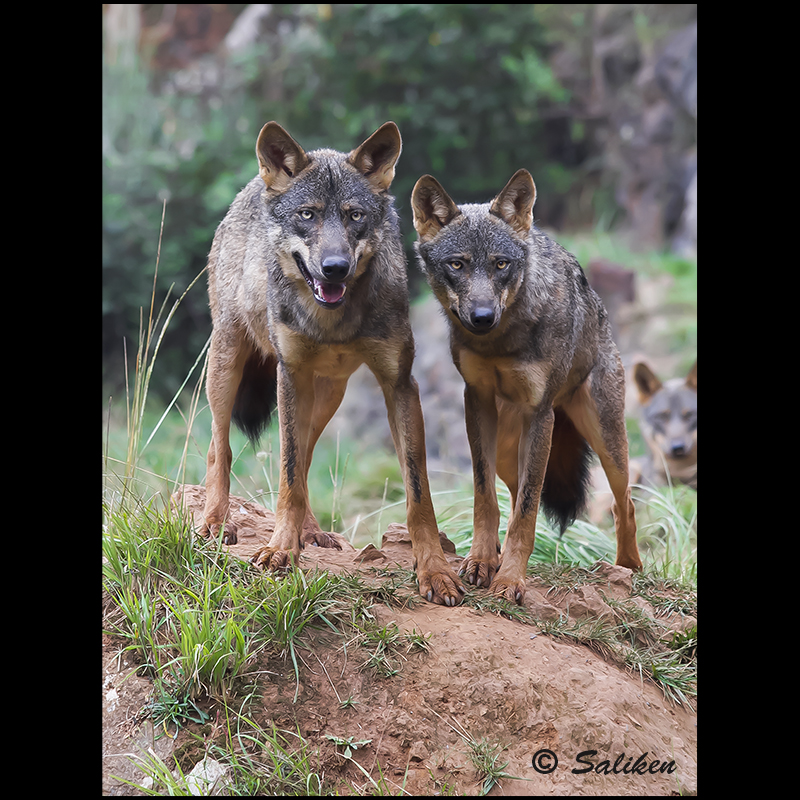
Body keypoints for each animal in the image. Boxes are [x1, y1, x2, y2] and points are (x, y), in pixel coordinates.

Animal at [200, 120, 466, 608]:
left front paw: (435, 571)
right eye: (307, 215)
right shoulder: (289, 374)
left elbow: (418, 492)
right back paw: (214, 522)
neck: (334, 321)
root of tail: (251, 188)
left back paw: (310, 533)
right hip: (228, 363)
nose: (335, 268)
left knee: (304, 459)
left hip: (327, 395)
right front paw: (279, 552)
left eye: (354, 215)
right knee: (220, 446)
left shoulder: (399, 383)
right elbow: (286, 474)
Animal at [412, 170, 644, 608]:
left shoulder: (541, 413)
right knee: (511, 489)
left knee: (624, 503)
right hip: (509, 452)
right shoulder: (476, 400)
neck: (501, 341)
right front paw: (482, 562)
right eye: (457, 264)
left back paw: (629, 567)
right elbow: (485, 498)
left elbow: (527, 510)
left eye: (501, 264)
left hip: (605, 442)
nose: (482, 317)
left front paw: (510, 581)